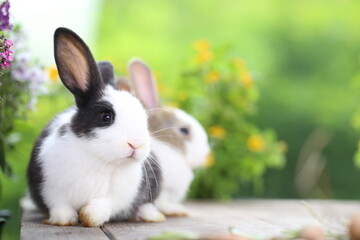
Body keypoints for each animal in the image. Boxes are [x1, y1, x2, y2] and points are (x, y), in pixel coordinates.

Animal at [27, 28, 162, 227]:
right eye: (106, 117)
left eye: (144, 118)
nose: (136, 144)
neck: (99, 158)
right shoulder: (51, 189)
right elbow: (60, 206)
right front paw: (63, 220)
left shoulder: (118, 196)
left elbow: (103, 206)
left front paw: (88, 217)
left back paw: (149, 215)